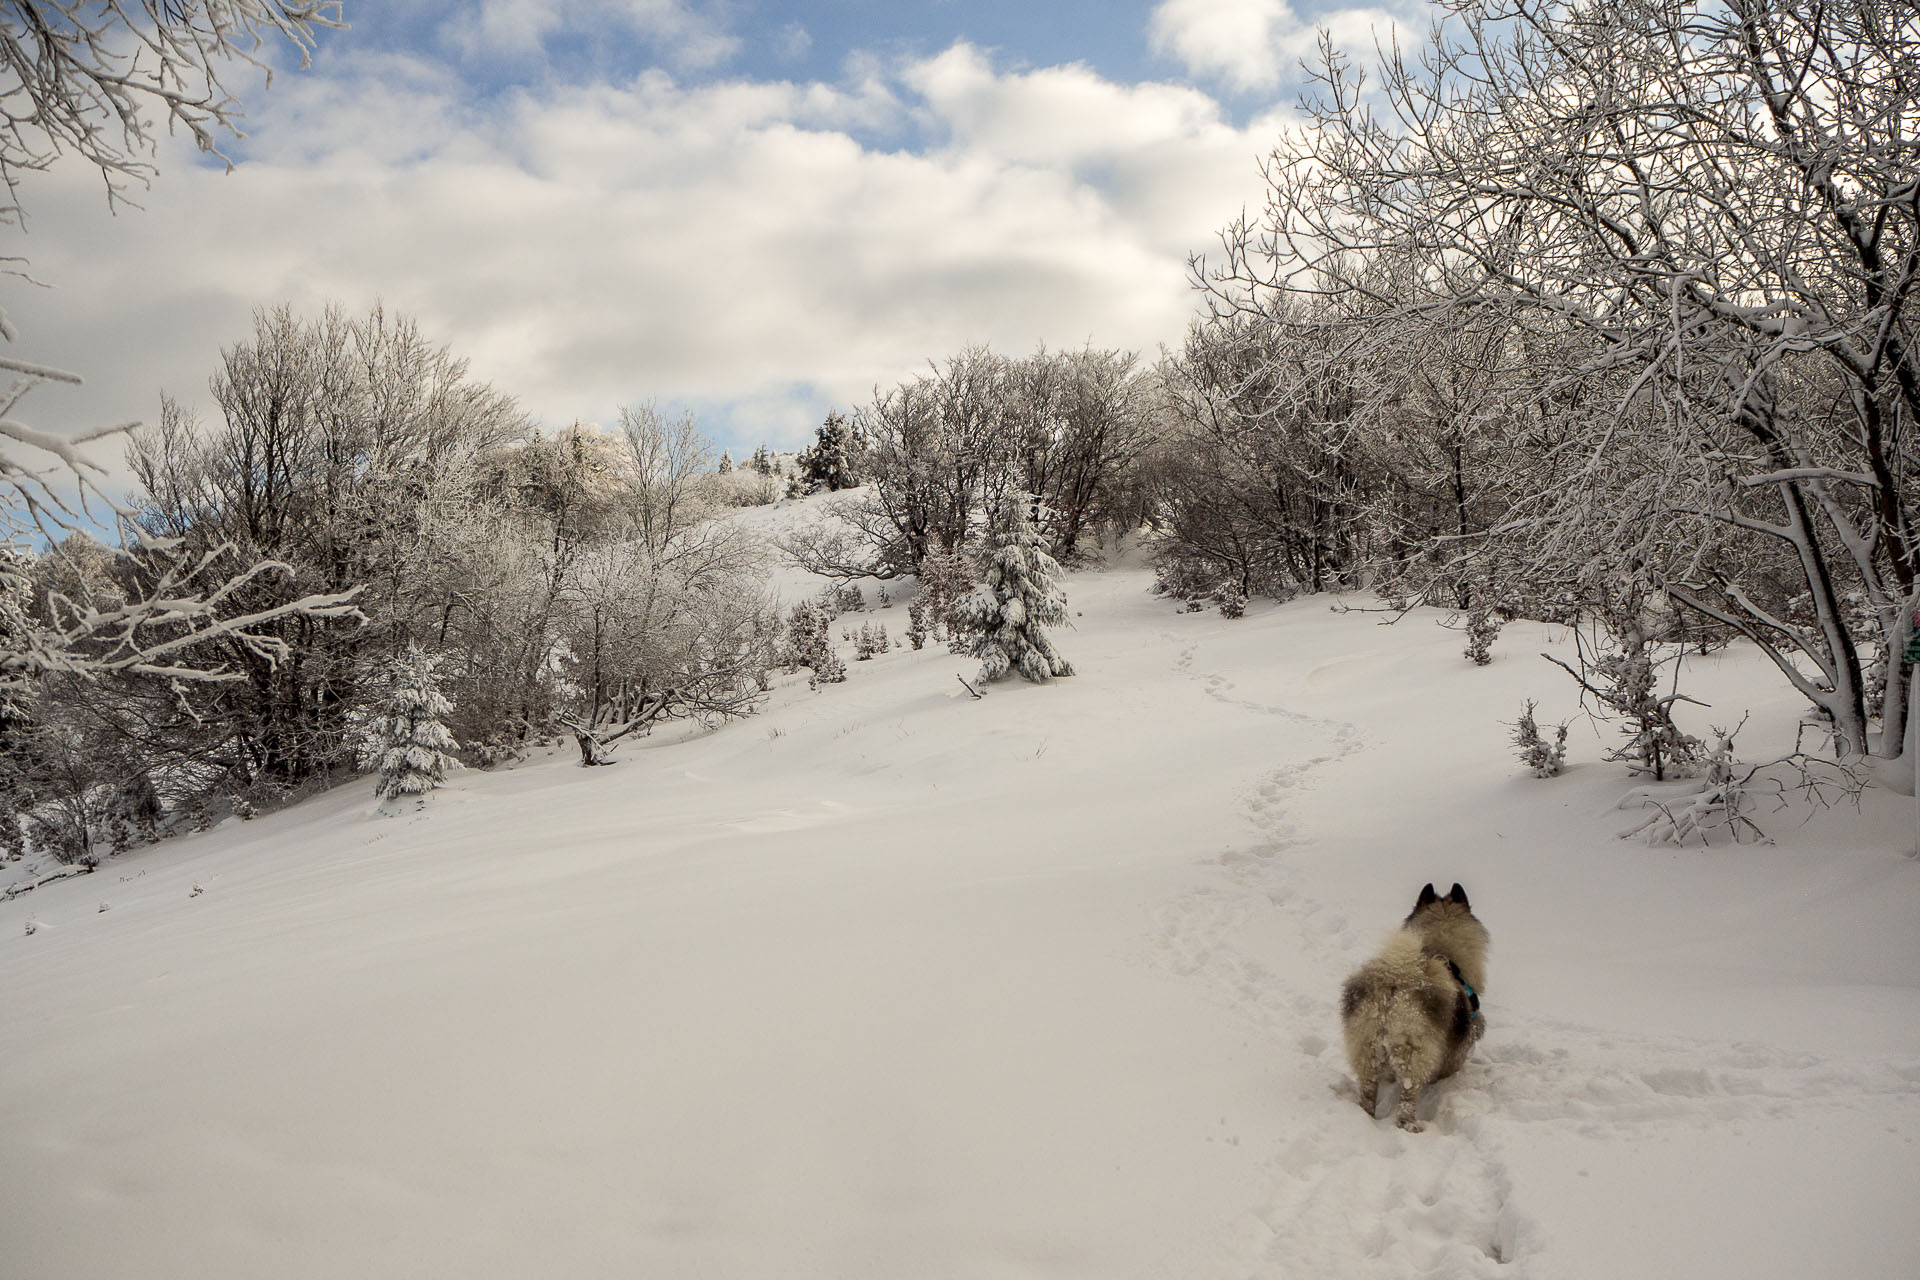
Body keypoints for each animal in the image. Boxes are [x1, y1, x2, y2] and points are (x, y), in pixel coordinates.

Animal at [1344, 882, 1489, 1128]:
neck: (1444, 954)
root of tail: (1395, 983)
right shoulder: (1456, 1051)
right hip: (1414, 1053)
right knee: (1408, 1095)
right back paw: (1410, 1126)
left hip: (1366, 1047)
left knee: (1367, 1090)